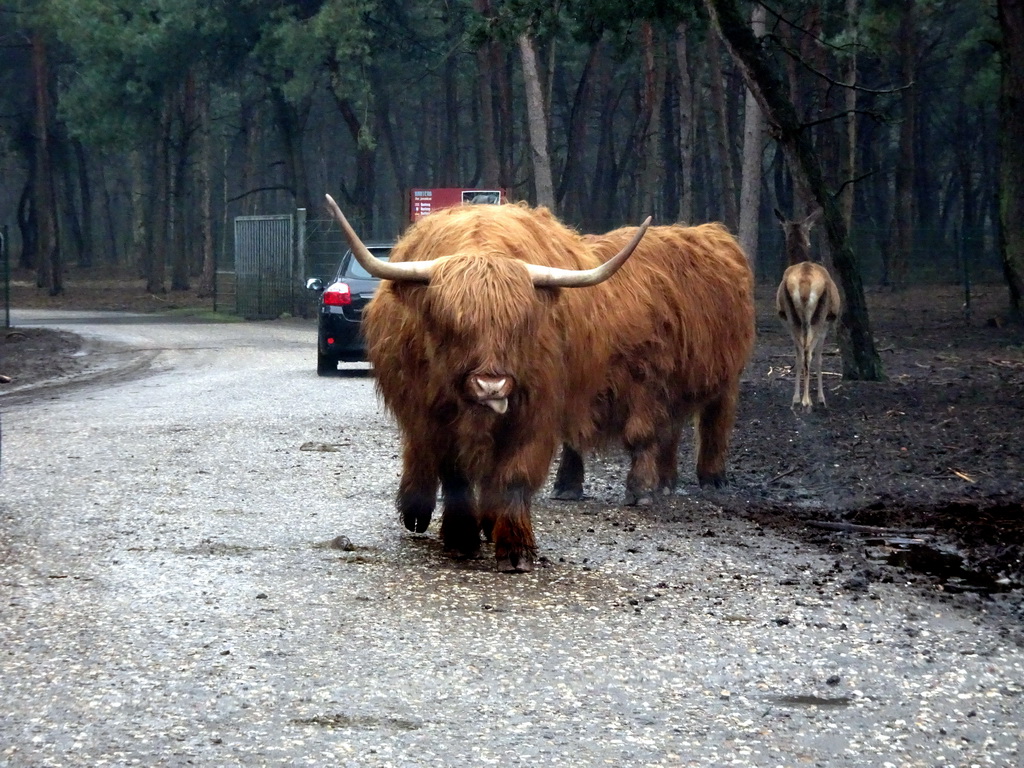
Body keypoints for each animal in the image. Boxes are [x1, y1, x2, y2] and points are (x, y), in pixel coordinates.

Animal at [774, 207, 839, 411]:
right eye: (809, 229)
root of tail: (804, 283)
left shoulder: (784, 319)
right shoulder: (828, 321)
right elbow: (818, 357)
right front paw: (820, 397)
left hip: (793, 314)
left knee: (802, 352)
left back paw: (800, 399)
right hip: (814, 314)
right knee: (807, 353)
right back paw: (806, 401)